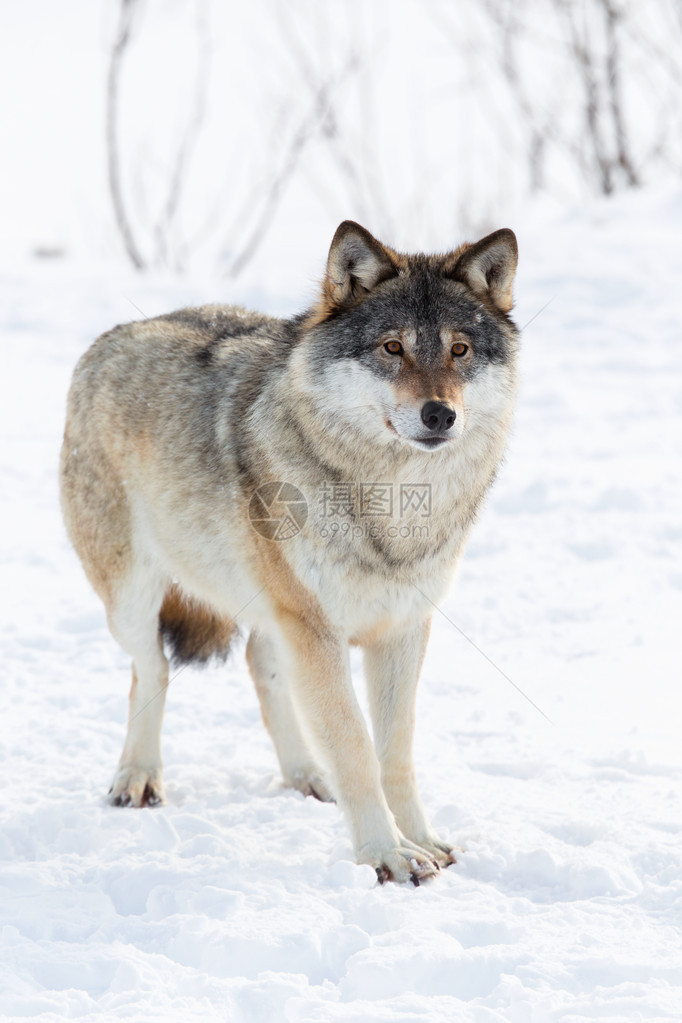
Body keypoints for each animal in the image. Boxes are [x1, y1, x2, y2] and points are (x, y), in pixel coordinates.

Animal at [60, 219, 517, 883]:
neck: (392, 506)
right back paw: (138, 778)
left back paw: (306, 776)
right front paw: (386, 857)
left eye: (460, 350)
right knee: (152, 668)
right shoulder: (316, 628)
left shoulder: (402, 628)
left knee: (258, 663)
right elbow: (355, 746)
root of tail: (110, 338)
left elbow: (395, 751)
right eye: (392, 348)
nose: (440, 414)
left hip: (269, 610)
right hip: (133, 600)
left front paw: (422, 841)